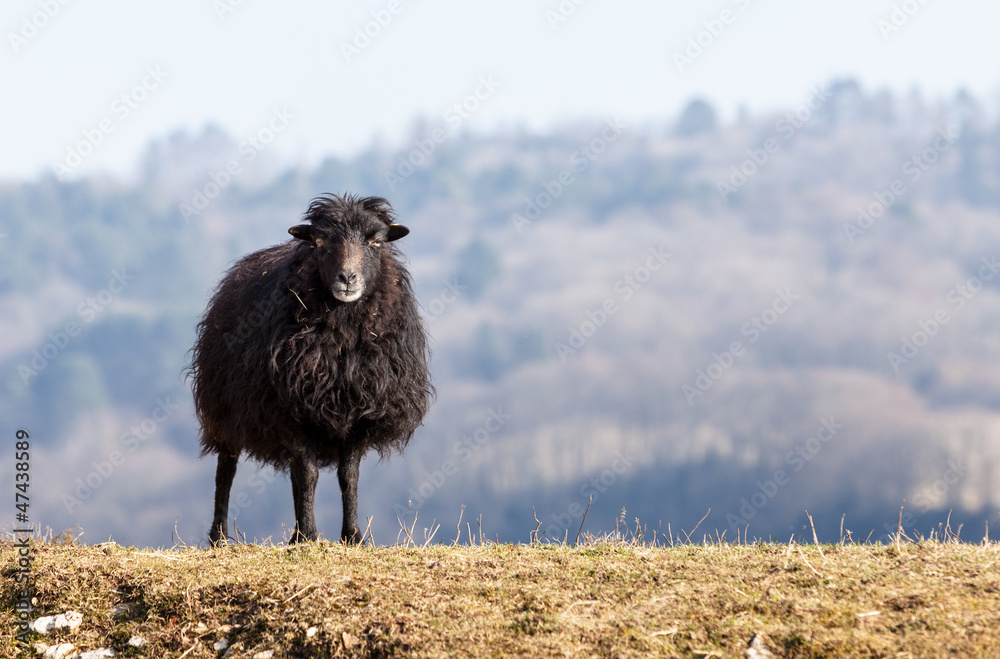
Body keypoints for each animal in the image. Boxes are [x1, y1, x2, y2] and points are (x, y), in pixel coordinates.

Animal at [188, 194, 433, 545]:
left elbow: (348, 475)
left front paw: (352, 536)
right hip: (225, 408)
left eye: (376, 241)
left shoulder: (364, 409)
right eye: (320, 241)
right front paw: (308, 536)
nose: (347, 278)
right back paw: (219, 536)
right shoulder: (288, 409)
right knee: (227, 469)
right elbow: (309, 474)